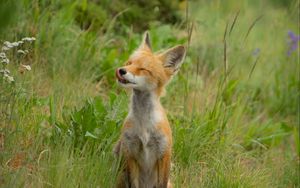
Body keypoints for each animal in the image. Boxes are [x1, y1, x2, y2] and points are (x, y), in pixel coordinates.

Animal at [114, 31, 186, 187]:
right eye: (129, 63)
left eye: (143, 69)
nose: (121, 70)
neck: (144, 125)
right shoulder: (130, 152)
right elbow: (133, 184)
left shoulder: (164, 153)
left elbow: (161, 183)